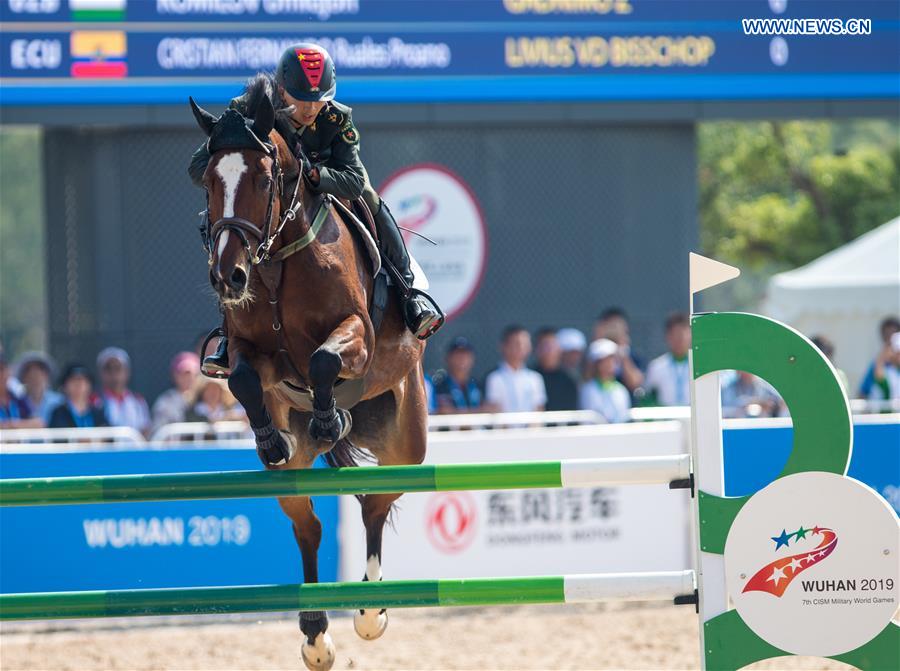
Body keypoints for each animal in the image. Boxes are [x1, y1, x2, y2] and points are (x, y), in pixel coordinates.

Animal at [189, 80, 428, 671]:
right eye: (209, 181)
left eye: (263, 177)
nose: (229, 277)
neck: (277, 259)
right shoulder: (253, 350)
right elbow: (244, 379)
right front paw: (273, 438)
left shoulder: (357, 336)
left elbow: (323, 359)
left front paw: (328, 420)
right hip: (299, 472)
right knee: (309, 524)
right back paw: (317, 634)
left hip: (406, 440)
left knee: (377, 501)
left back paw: (369, 613)